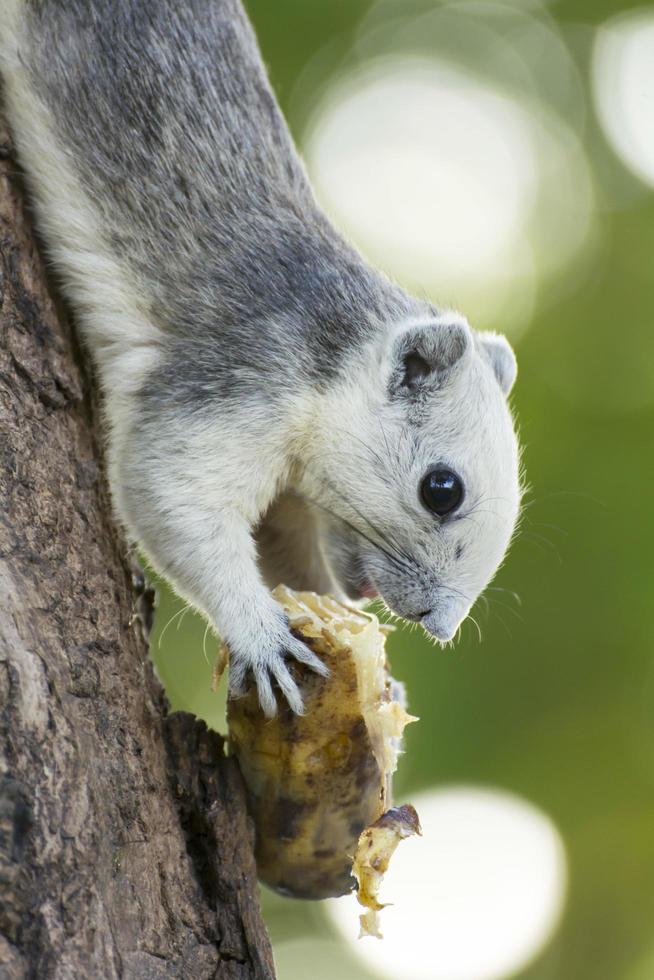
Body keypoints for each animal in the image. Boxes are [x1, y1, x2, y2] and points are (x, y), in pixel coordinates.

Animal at [0, 0, 524, 716]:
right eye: (441, 490)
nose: (440, 627)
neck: (329, 364)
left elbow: (285, 550)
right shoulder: (239, 381)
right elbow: (170, 492)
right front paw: (261, 637)